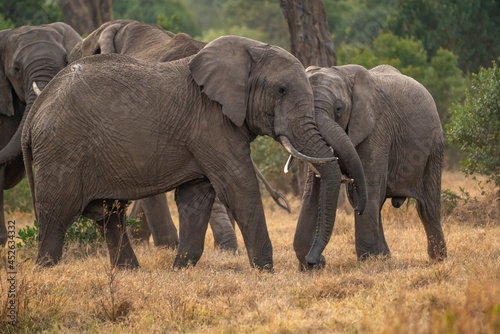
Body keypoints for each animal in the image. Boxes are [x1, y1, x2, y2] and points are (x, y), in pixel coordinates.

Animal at [296, 63, 446, 266]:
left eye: (339, 108)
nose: (316, 259)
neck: (341, 72)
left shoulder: (377, 127)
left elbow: (368, 184)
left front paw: (370, 260)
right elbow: (312, 189)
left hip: (434, 147)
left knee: (427, 207)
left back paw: (438, 260)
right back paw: (386, 255)